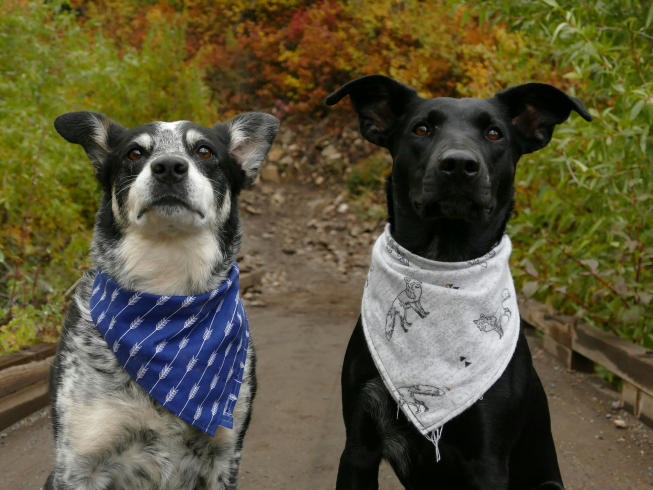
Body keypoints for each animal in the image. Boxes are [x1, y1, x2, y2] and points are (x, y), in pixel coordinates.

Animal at [326, 73, 592, 490]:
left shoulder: (488, 459)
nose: (459, 165)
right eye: (421, 129)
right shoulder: (359, 446)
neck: (444, 260)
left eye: (495, 133)